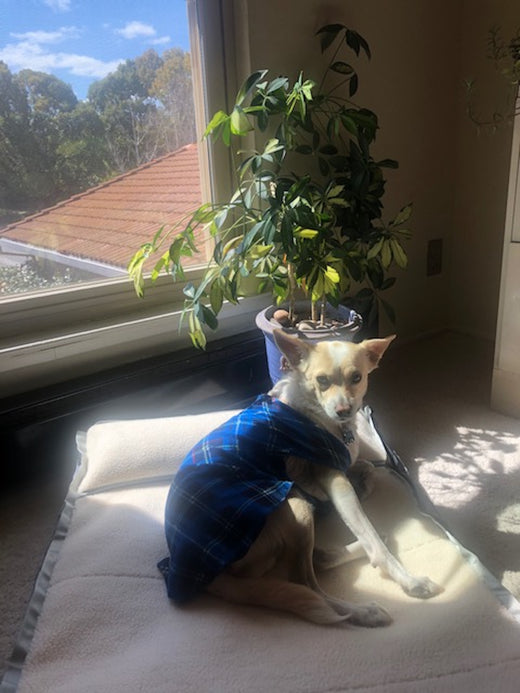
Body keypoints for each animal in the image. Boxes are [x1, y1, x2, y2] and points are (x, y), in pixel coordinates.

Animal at [157, 330, 438, 628]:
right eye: (322, 380)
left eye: (357, 377)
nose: (344, 410)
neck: (317, 411)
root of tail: (210, 579)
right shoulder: (333, 477)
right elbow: (369, 534)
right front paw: (408, 581)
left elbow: (368, 469)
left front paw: (359, 487)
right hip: (293, 503)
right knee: (308, 585)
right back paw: (363, 611)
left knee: (318, 561)